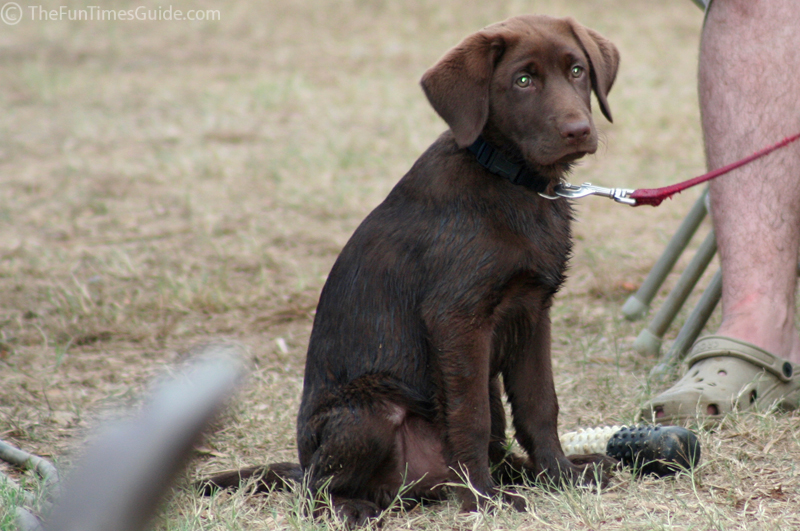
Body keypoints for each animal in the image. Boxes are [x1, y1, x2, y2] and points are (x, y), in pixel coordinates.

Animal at [200, 14, 620, 524]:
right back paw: (357, 507)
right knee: (313, 491)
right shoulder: (456, 318)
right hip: (368, 412)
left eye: (577, 71)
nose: (578, 130)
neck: (509, 180)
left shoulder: (534, 312)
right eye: (523, 81)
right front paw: (483, 500)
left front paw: (560, 476)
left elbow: (540, 405)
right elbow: (469, 417)